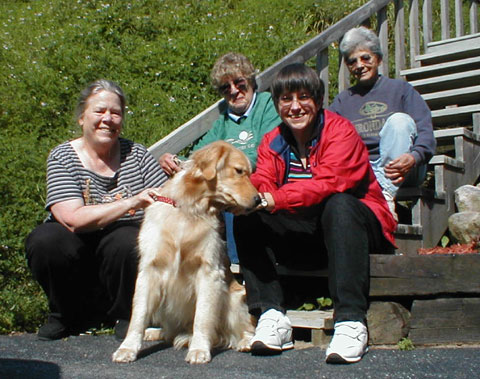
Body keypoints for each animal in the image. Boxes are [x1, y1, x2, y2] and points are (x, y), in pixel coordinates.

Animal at [112, 142, 260, 366]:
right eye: (239, 171)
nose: (259, 199)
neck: (189, 208)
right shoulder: (149, 270)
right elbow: (138, 315)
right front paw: (128, 348)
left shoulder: (209, 271)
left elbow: (202, 316)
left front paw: (199, 349)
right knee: (169, 332)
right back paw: (155, 332)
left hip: (235, 298)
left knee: (243, 329)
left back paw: (245, 342)